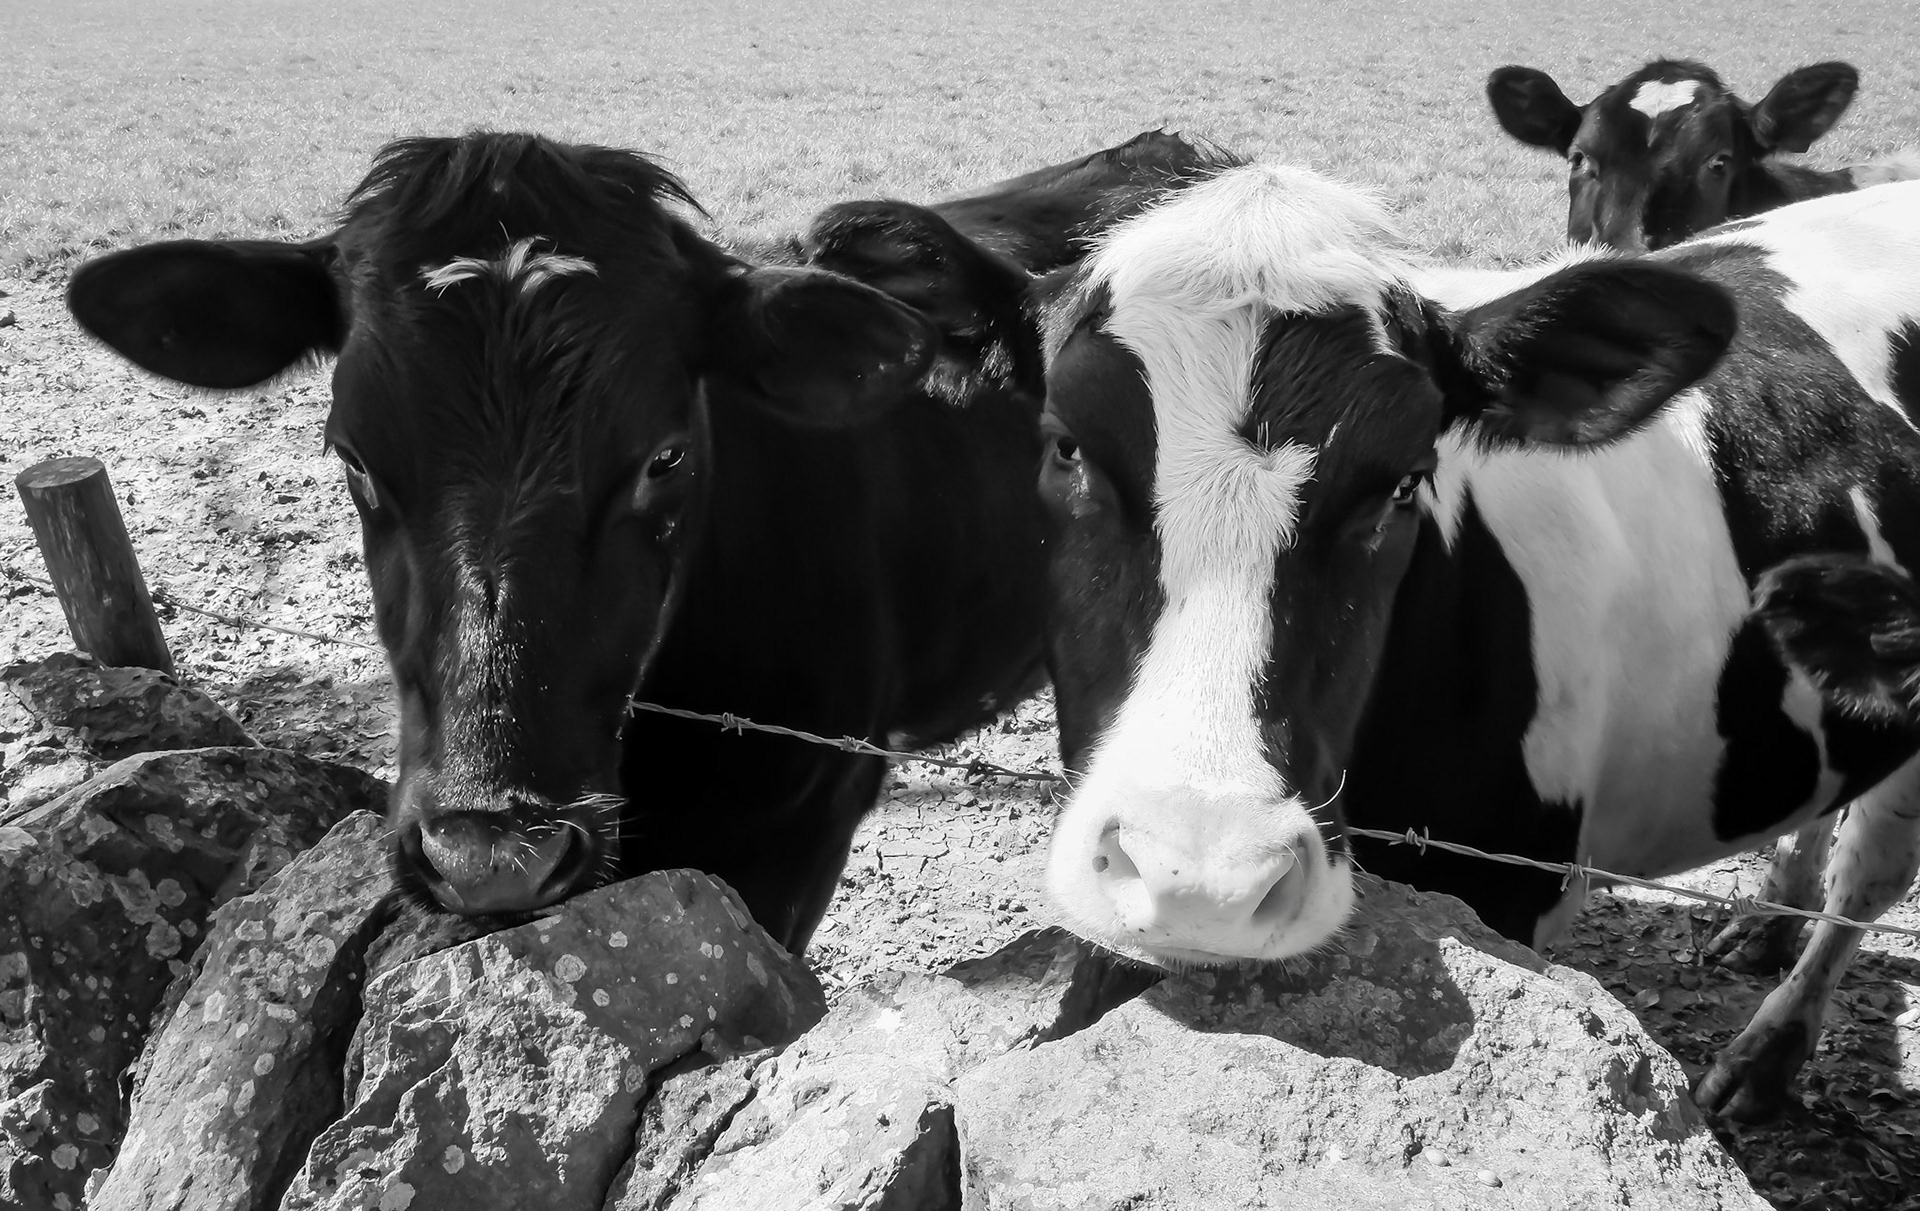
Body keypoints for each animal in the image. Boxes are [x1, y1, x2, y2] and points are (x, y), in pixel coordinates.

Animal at [1033, 163, 1920, 1121]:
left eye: (1403, 481)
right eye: (1066, 445)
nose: (1202, 881)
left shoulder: (1511, 888)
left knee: (1871, 873)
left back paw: (1769, 1050)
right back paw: (1768, 919)